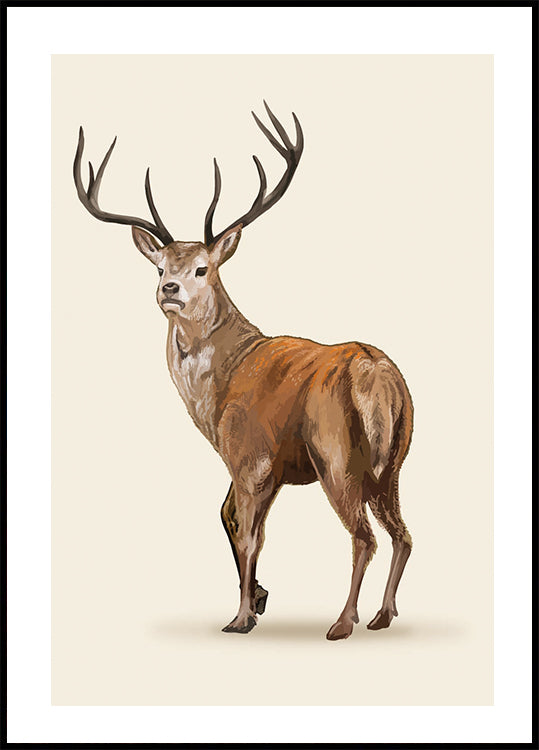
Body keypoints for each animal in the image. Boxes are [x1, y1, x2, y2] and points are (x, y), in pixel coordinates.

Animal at [73, 102, 413, 640]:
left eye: (202, 268)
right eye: (159, 266)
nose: (168, 289)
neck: (217, 396)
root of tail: (374, 373)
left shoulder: (248, 454)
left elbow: (247, 531)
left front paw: (241, 616)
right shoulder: (267, 470)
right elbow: (231, 518)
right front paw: (258, 598)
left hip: (336, 455)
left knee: (365, 537)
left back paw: (343, 622)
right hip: (394, 461)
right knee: (403, 534)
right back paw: (382, 615)